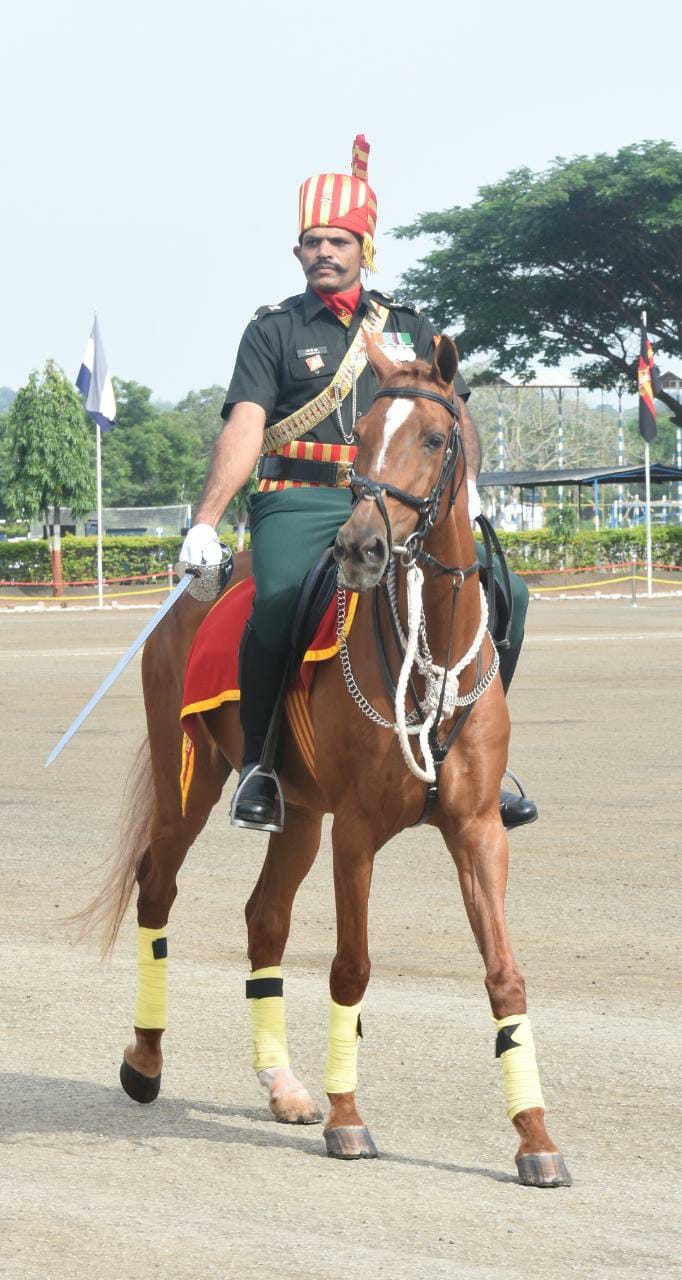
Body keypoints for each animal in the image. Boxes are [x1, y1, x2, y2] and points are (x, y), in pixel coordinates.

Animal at [88, 332, 568, 1187]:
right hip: (193, 786)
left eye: (434, 439)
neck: (429, 652)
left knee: (265, 917)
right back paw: (144, 1061)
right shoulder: (357, 832)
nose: (358, 548)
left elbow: (504, 973)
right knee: (156, 888)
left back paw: (282, 1085)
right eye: (366, 433)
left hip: (300, 813)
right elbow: (352, 966)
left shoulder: (479, 830)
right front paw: (349, 1119)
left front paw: (535, 1136)